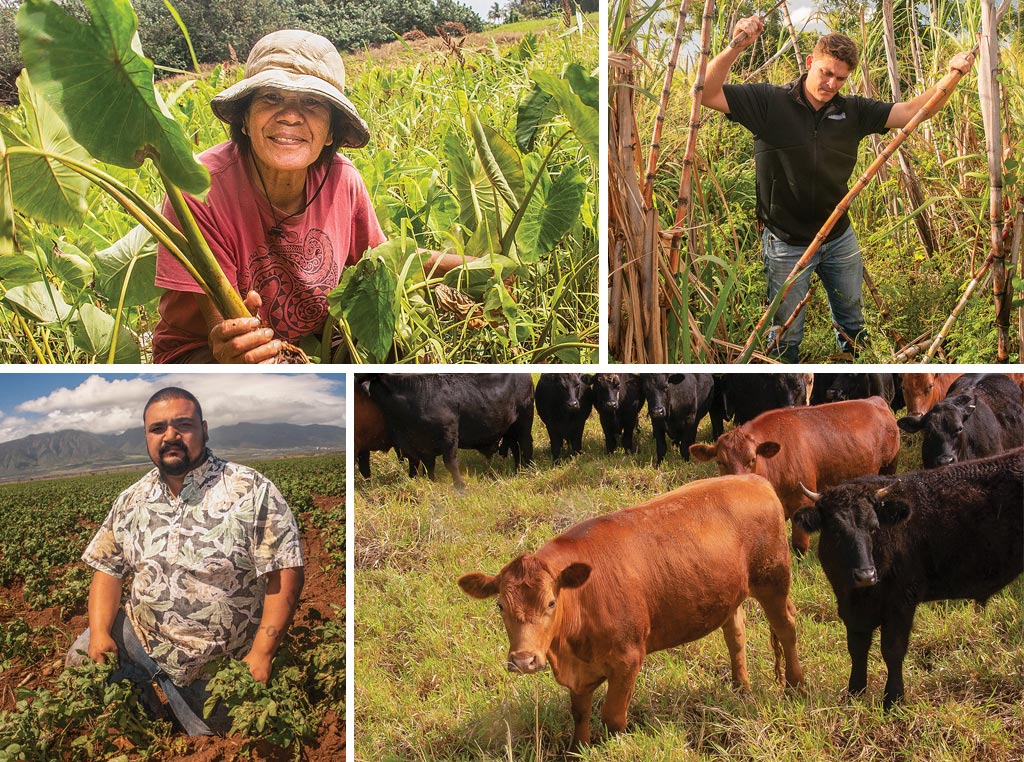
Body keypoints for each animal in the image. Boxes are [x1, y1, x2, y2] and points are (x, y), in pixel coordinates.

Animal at [360, 372, 536, 491]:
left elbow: (450, 463)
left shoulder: (449, 436)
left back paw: (527, 469)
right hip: (511, 428)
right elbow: (428, 466)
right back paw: (517, 469)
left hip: (524, 421)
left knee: (526, 444)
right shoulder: (421, 448)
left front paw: (460, 486)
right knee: (515, 447)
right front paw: (432, 482)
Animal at [456, 475, 798, 749]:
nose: (523, 660)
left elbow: (612, 718)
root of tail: (753, 480)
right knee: (735, 634)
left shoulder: (628, 658)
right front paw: (578, 749)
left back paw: (795, 686)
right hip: (731, 594)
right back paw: (741, 687)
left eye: (551, 603)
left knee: (787, 628)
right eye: (500, 605)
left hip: (773, 581)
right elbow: (579, 713)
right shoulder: (580, 672)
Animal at [688, 399, 897, 553]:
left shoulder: (802, 501)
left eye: (753, 458)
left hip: (889, 468)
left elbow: (798, 545)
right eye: (719, 461)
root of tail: (874, 400)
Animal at [790, 452, 1024, 708]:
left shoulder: (901, 601)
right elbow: (857, 649)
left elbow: (892, 650)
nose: (865, 575)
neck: (860, 594)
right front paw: (854, 694)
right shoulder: (851, 609)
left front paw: (893, 699)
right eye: (835, 530)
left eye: (874, 528)